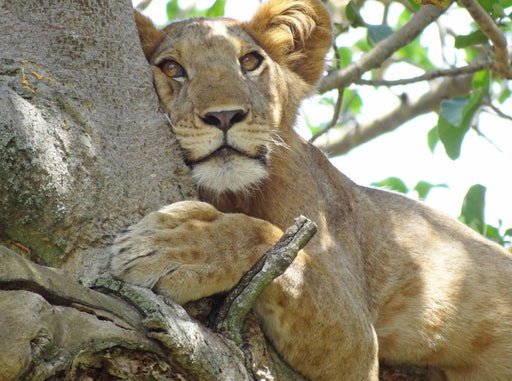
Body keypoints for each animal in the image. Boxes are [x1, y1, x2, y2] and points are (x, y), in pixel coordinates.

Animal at [110, 1, 512, 378]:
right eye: (171, 68)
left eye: (250, 61)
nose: (225, 116)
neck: (231, 193)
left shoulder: (359, 342)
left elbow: (265, 238)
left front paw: (172, 246)